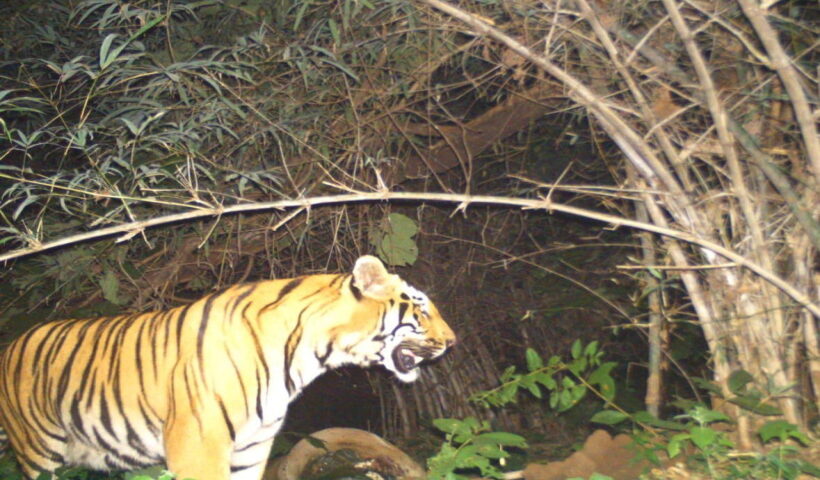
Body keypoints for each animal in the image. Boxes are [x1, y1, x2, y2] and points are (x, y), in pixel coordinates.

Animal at [0, 255, 455, 480]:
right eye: (422, 309)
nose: (453, 341)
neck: (308, 355)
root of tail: (12, 343)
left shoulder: (252, 448)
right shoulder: (196, 449)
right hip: (38, 450)